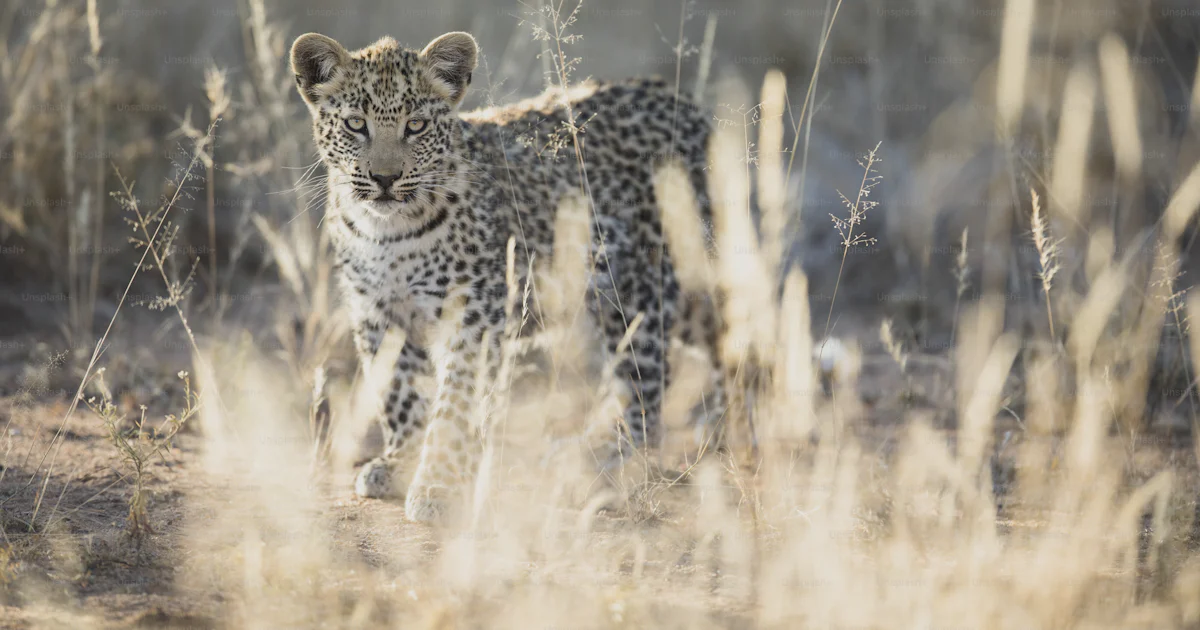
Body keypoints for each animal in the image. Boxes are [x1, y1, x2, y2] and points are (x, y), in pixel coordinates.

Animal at [290, 30, 719, 523]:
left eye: (415, 126)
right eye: (356, 124)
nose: (384, 178)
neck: (388, 232)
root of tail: (684, 104)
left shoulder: (473, 314)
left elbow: (454, 403)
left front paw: (436, 483)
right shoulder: (375, 312)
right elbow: (399, 393)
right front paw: (400, 461)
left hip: (639, 286)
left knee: (651, 386)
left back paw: (595, 453)